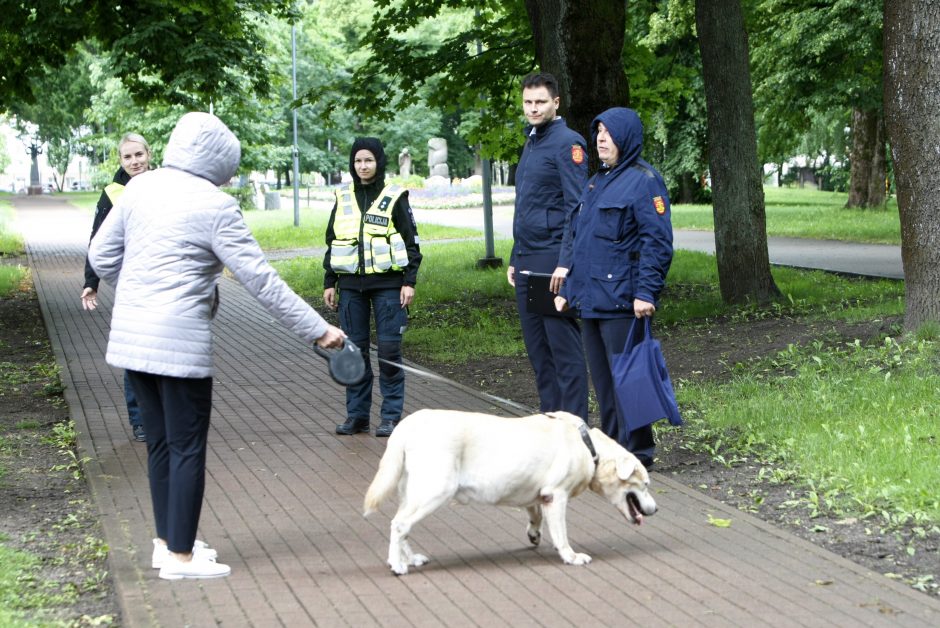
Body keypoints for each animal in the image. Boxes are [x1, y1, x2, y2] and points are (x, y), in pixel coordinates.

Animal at [364, 410, 656, 576]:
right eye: (645, 484)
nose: (656, 509)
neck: (588, 445)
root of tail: (406, 426)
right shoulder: (557, 495)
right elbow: (562, 534)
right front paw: (571, 556)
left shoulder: (538, 493)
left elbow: (535, 514)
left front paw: (535, 534)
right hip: (435, 491)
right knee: (400, 525)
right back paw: (397, 565)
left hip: (413, 492)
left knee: (401, 525)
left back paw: (410, 559)